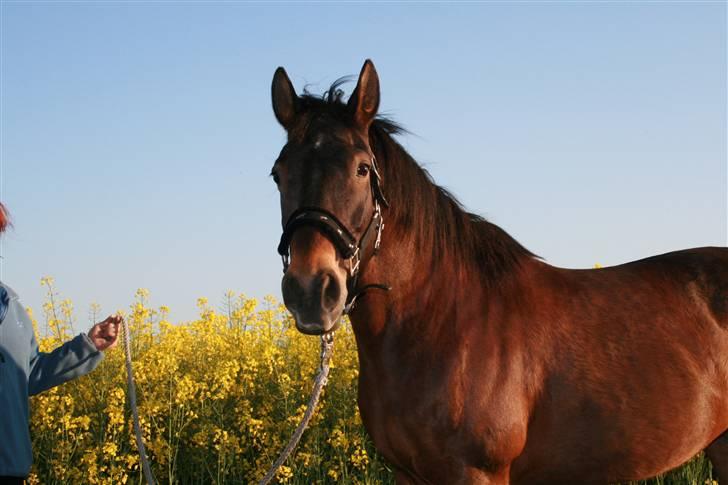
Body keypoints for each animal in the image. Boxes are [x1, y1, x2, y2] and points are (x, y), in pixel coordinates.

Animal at [268, 59, 728, 484]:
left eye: (362, 169)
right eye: (278, 173)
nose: (311, 290)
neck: (441, 319)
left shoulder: (478, 472)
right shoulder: (407, 473)